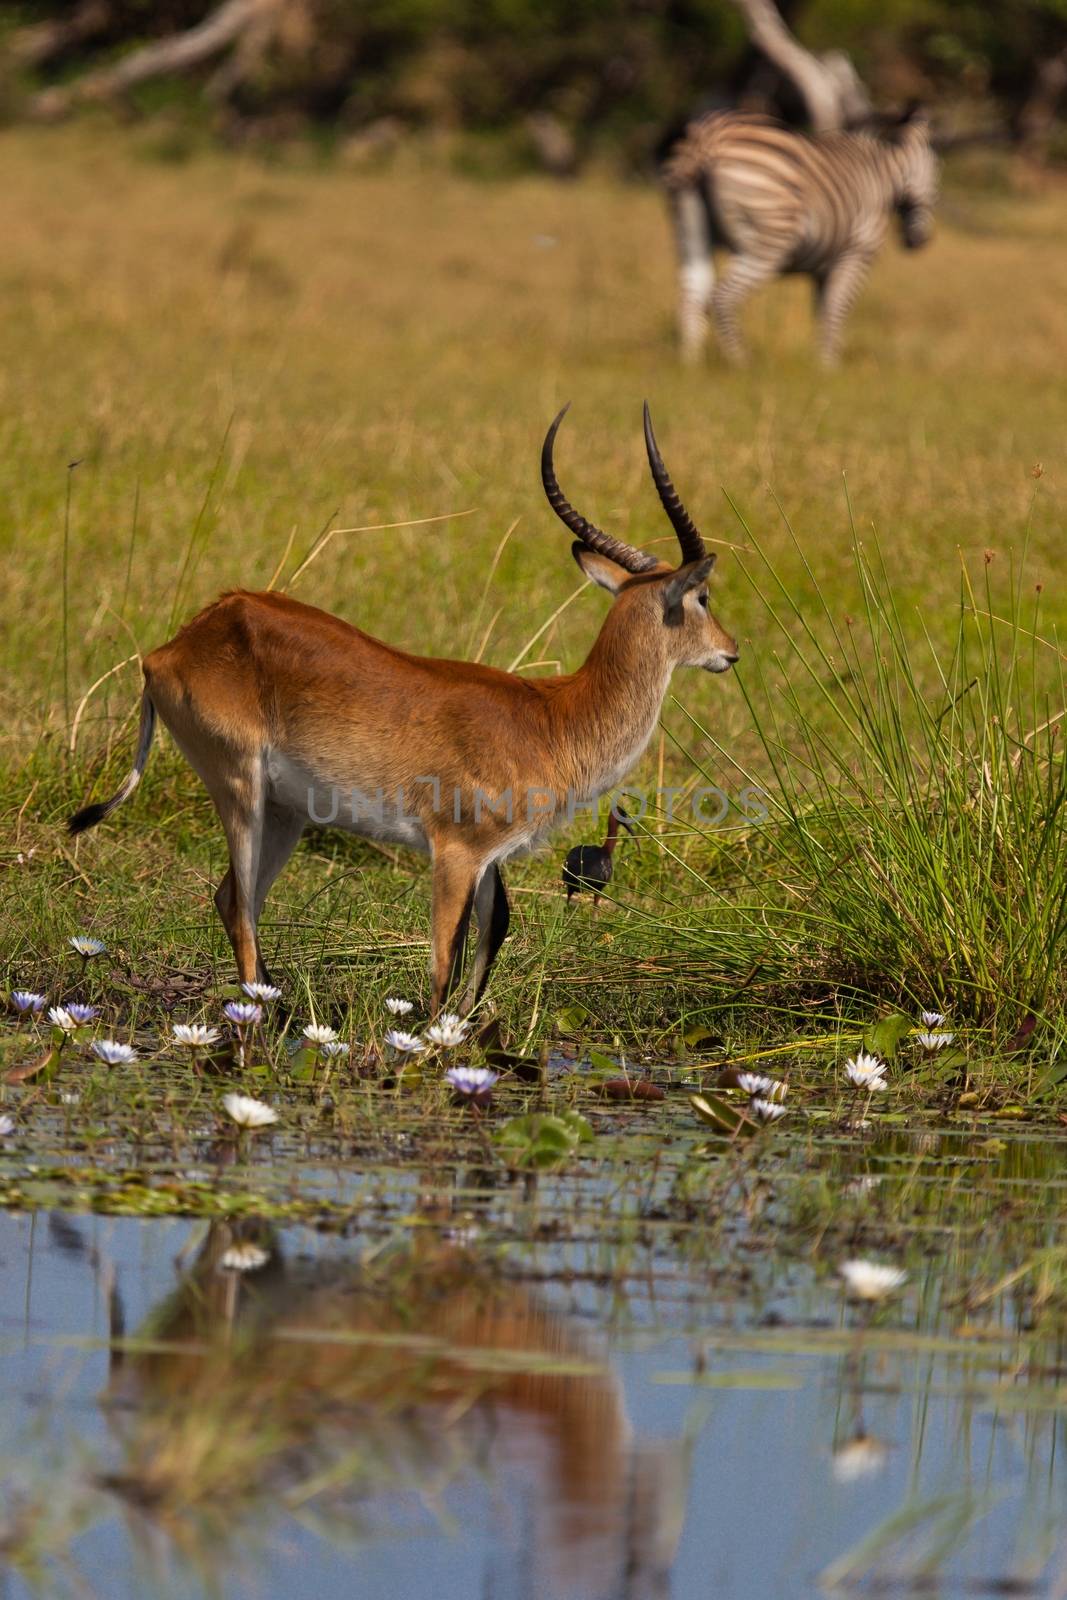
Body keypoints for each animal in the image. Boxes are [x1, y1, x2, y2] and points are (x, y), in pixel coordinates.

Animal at [662, 105, 940, 366]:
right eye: (935, 173)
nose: (919, 241)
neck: (884, 175)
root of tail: (708, 139)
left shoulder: (822, 268)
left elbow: (822, 311)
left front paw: (819, 364)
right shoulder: (857, 254)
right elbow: (837, 309)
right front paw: (830, 367)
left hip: (690, 230)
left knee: (691, 297)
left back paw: (690, 366)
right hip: (768, 240)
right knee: (722, 298)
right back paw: (742, 364)